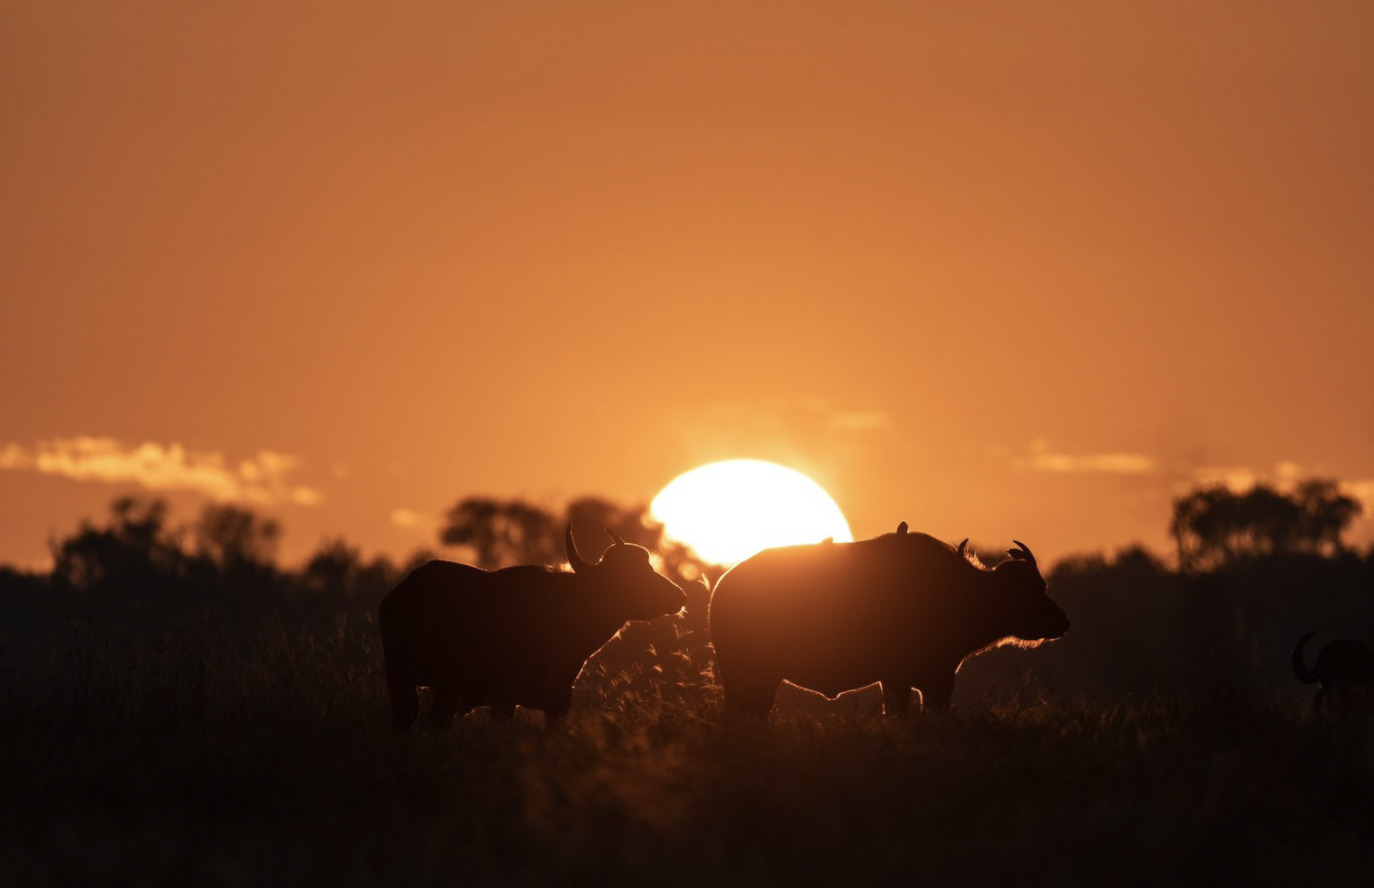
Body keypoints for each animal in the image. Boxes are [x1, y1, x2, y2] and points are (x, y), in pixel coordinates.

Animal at [379, 525, 686, 729]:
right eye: (632, 575)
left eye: (647, 567)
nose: (679, 595)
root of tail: (398, 595)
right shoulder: (506, 700)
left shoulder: (556, 702)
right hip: (430, 686)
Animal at [708, 528, 1069, 718]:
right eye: (1039, 587)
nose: (1063, 621)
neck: (962, 593)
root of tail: (721, 588)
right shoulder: (904, 679)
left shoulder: (933, 680)